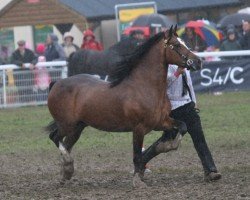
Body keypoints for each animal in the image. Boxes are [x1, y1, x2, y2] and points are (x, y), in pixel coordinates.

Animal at [46, 26, 203, 188]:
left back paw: (66, 173)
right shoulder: (139, 129)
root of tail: (56, 83)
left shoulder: (161, 122)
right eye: (177, 45)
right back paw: (67, 166)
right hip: (67, 124)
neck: (145, 87)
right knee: (55, 137)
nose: (198, 62)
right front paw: (137, 181)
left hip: (78, 127)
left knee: (66, 144)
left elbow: (182, 127)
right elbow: (137, 156)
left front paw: (164, 147)